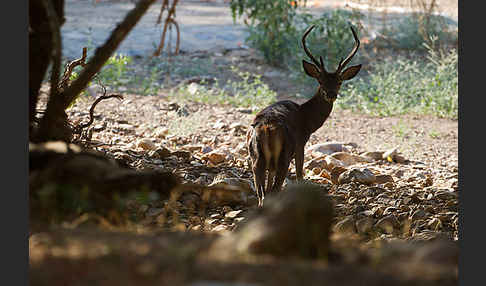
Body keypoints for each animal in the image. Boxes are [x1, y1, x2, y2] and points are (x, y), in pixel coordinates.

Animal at [247, 24, 360, 207]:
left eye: (339, 81)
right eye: (320, 80)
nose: (330, 94)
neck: (307, 119)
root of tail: (267, 128)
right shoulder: (301, 144)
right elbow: (300, 175)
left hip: (256, 159)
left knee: (262, 194)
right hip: (284, 155)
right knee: (274, 189)